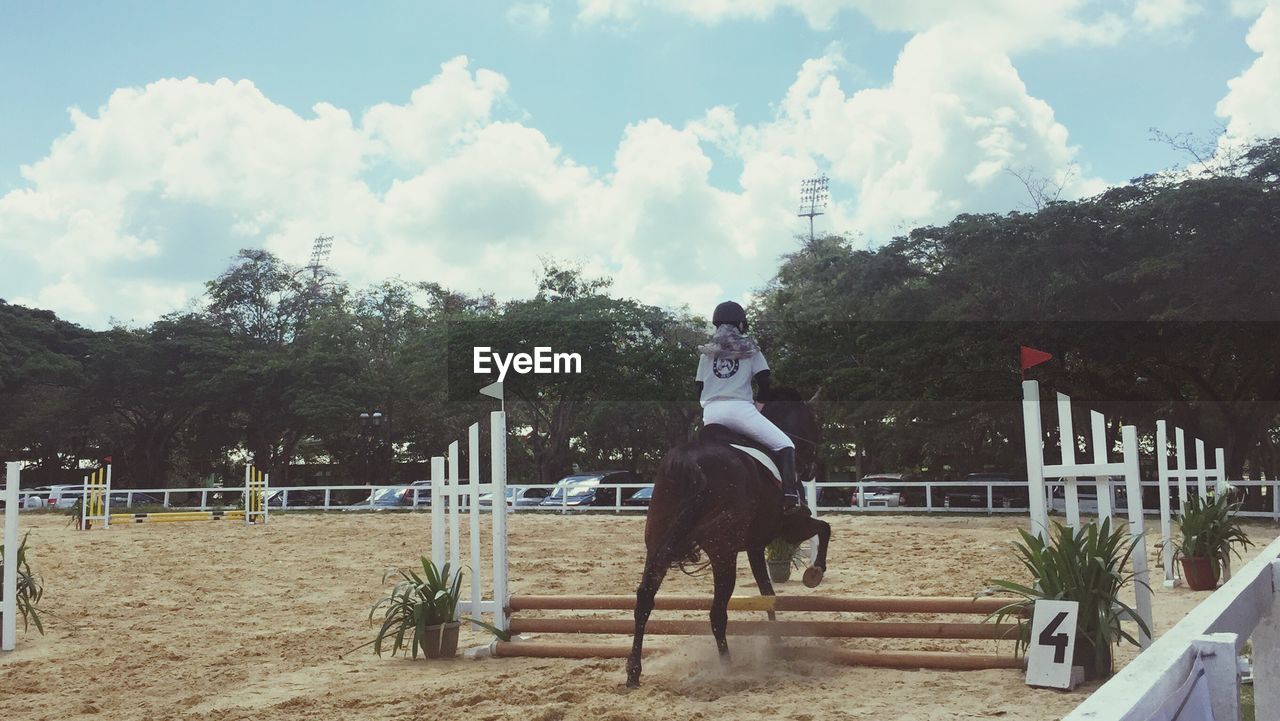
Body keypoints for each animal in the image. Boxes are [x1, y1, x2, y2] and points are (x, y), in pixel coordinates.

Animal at [627, 389, 829, 686]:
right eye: (815, 422)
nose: (813, 469)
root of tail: (687, 462)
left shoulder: (756, 546)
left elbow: (767, 593)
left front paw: (776, 641)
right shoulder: (790, 527)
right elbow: (824, 528)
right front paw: (815, 573)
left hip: (657, 545)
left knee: (644, 600)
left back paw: (633, 672)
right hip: (723, 553)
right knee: (717, 612)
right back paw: (727, 669)